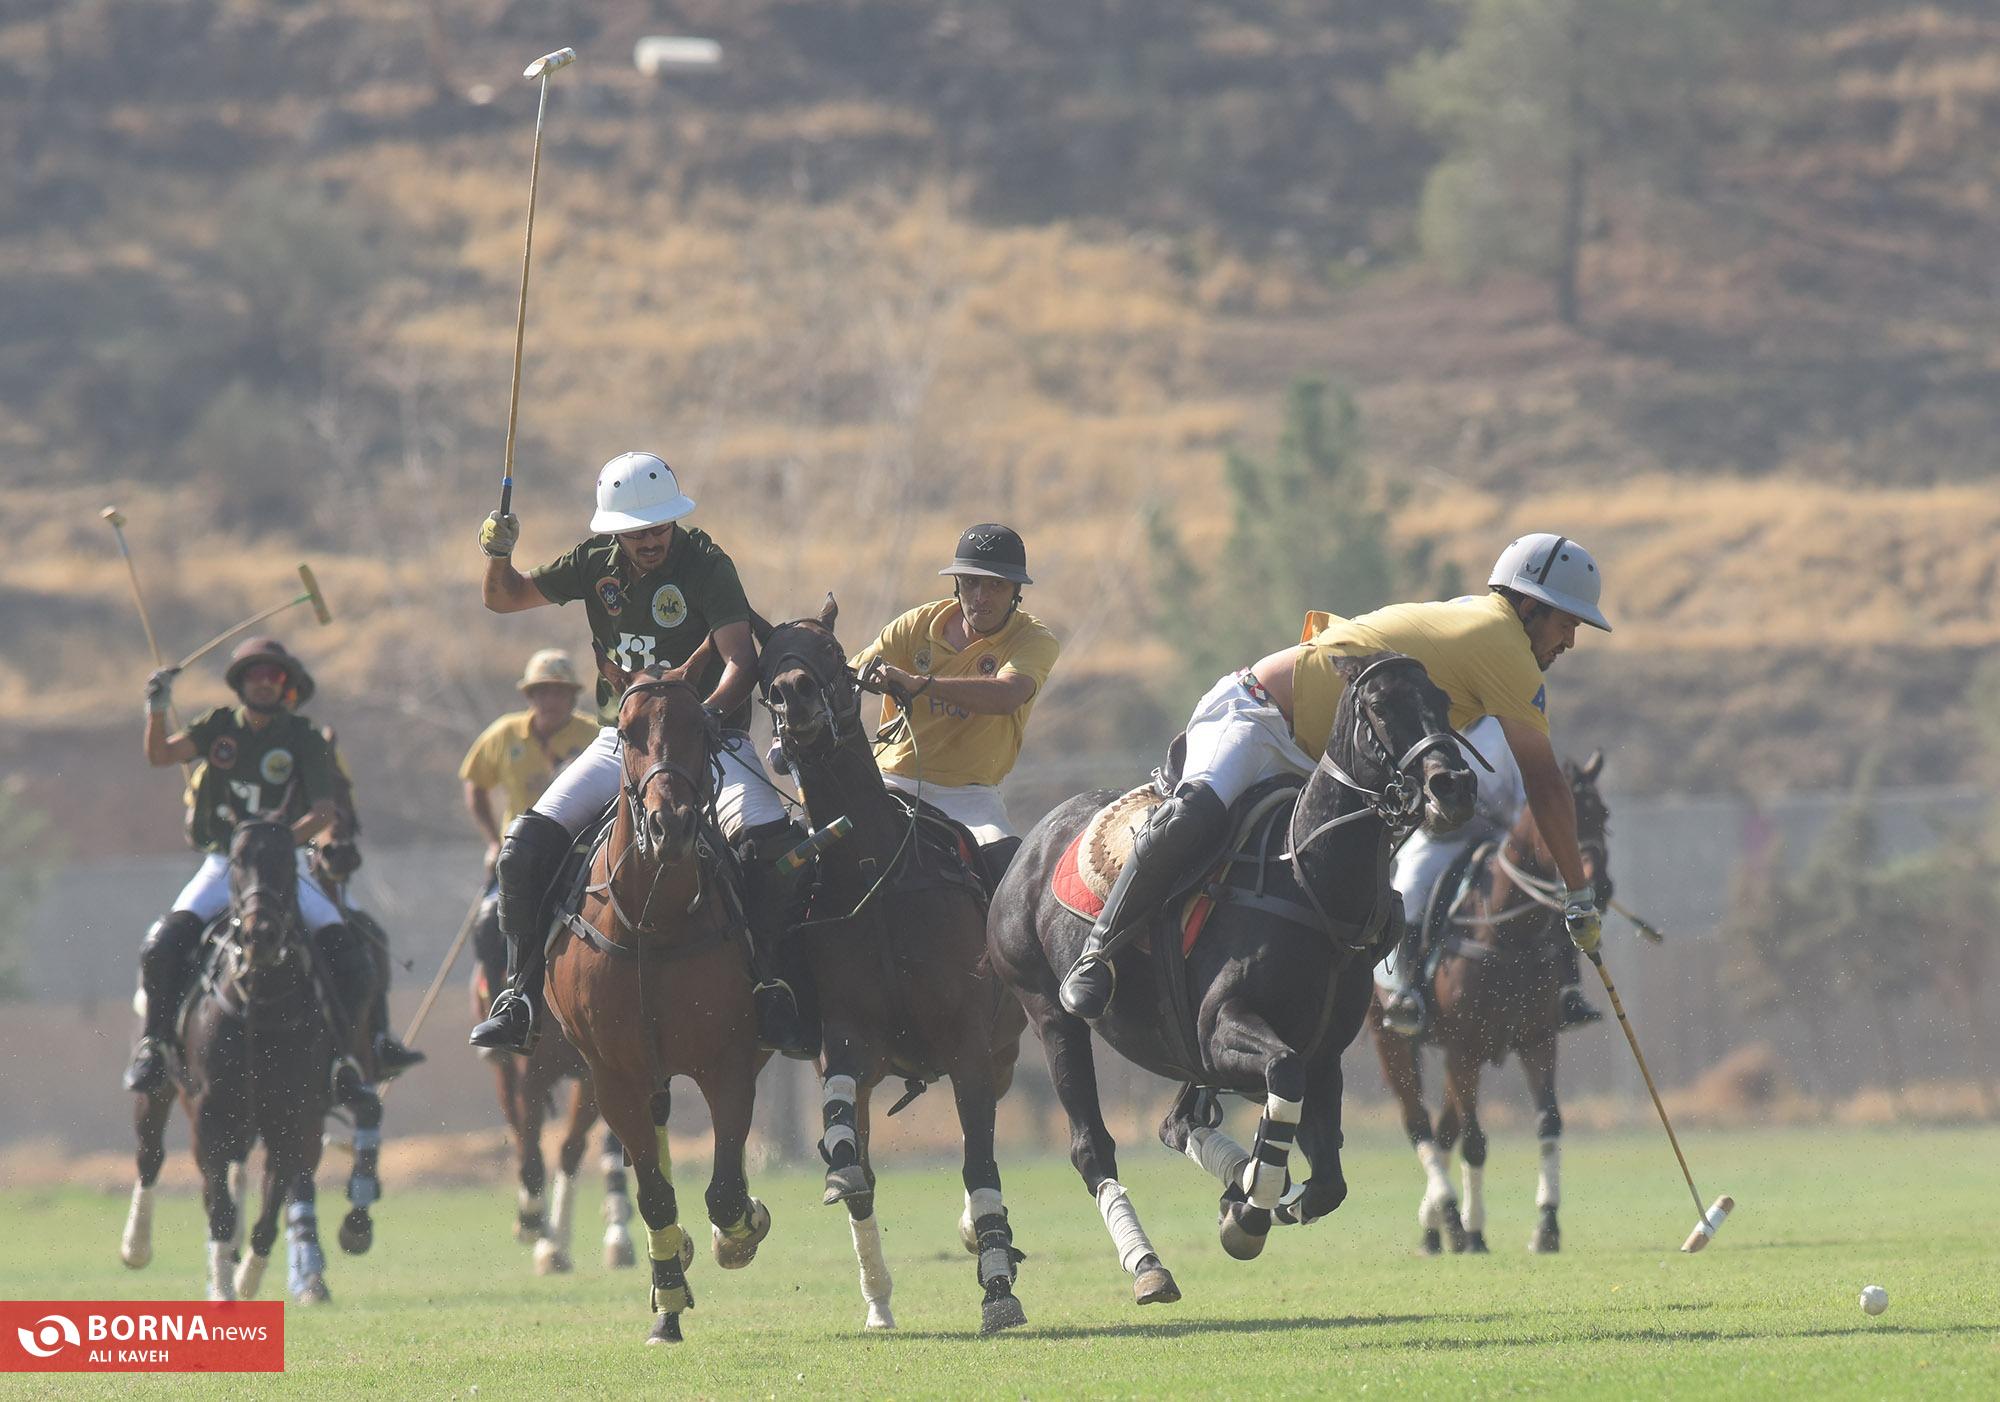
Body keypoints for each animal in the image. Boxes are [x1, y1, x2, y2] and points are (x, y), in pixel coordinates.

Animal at [468, 964, 632, 1272]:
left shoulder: (594, 1073)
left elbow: (571, 1147)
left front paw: (553, 1246)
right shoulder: (528, 1072)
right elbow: (529, 1146)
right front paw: (532, 1222)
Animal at [544, 668, 768, 1344]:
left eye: (701, 728)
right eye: (627, 729)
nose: (671, 826)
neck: (653, 921)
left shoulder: (728, 1062)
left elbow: (725, 1192)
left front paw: (739, 1233)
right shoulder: (612, 1075)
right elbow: (654, 1194)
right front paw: (668, 1299)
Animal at [752, 600, 1032, 1336]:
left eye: (830, 652)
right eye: (765, 665)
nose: (794, 696)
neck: (876, 873)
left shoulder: (967, 1045)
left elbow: (979, 1162)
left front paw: (997, 1289)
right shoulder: (849, 1038)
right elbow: (847, 1140)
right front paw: (843, 1176)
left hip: (1003, 1048)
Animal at [992, 652, 1480, 1304]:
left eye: (1444, 702)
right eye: (1379, 705)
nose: (1453, 786)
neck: (1308, 880)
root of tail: (1031, 841)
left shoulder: (1322, 1053)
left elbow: (1328, 1181)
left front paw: (1255, 1198)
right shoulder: (1225, 1028)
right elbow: (1283, 1077)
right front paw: (1250, 1210)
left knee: (1177, 1123)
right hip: (1050, 1014)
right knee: (1091, 1144)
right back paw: (1149, 1265)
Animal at [1368, 748, 1616, 1256]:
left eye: (1603, 815)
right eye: (1560, 820)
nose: (1600, 888)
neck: (1507, 934)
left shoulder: (1536, 1041)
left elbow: (1549, 1122)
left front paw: (1546, 1227)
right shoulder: (1463, 1046)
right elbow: (1476, 1140)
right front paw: (1474, 1232)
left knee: (1444, 1127)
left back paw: (1433, 1230)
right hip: (1394, 1041)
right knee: (1420, 1124)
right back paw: (1450, 1218)